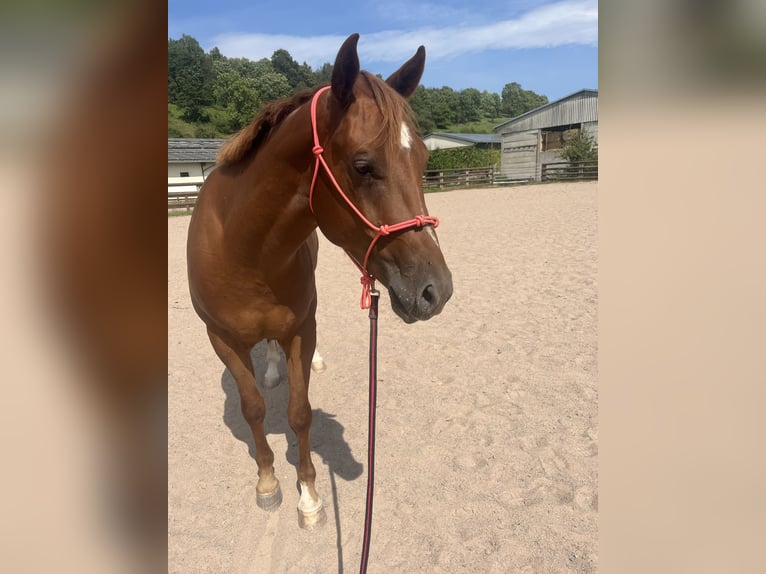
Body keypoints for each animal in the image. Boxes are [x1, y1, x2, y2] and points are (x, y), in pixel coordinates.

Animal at [186, 33, 452, 532]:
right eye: (363, 166)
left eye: (425, 160)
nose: (436, 291)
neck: (244, 250)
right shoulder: (221, 339)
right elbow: (253, 409)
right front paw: (267, 483)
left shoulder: (299, 330)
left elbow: (299, 412)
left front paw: (308, 495)